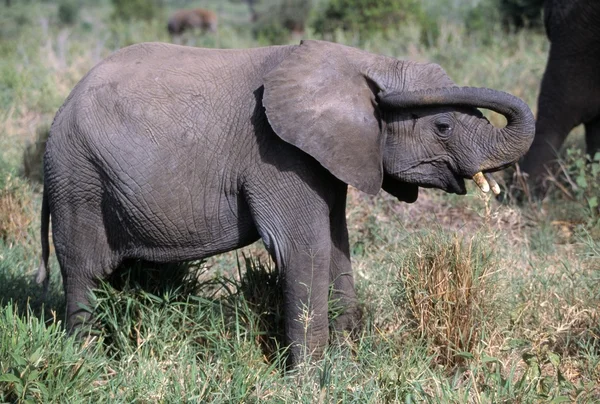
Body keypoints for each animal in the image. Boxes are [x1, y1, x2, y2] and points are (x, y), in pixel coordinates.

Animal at [37, 40, 536, 366]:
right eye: (444, 127)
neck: (359, 60)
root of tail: (60, 111)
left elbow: (336, 246)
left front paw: (348, 366)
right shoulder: (276, 154)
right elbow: (302, 249)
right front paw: (310, 381)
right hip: (78, 180)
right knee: (85, 273)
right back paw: (88, 363)